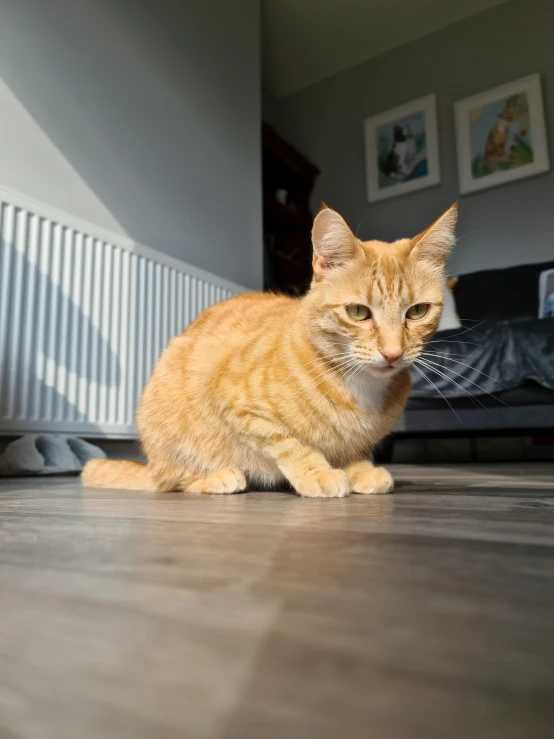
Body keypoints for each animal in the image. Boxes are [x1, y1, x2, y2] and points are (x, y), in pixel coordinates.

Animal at [81, 205, 452, 500]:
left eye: (417, 311)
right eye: (358, 312)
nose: (392, 353)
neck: (356, 382)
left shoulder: (355, 439)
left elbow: (353, 449)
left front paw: (360, 469)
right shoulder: (239, 405)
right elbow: (290, 442)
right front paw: (319, 472)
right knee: (172, 481)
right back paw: (216, 478)